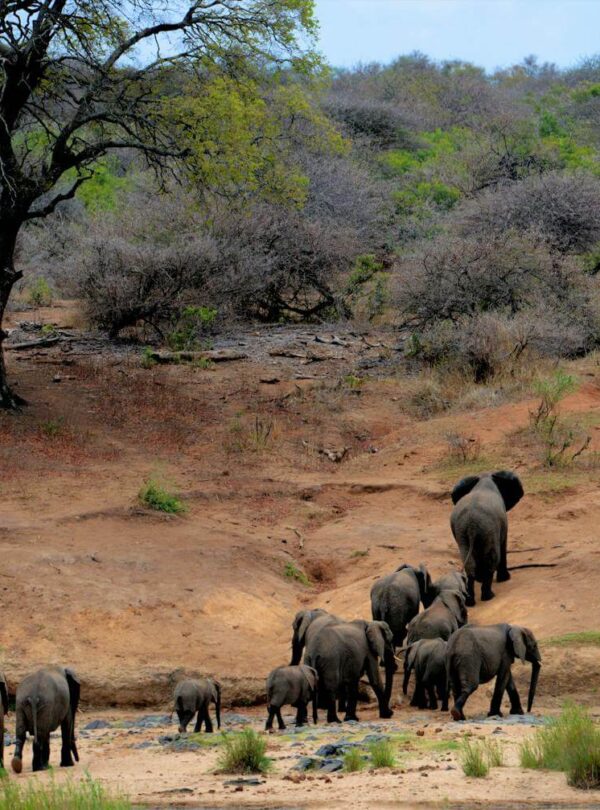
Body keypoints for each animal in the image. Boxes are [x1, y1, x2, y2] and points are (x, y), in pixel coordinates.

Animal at [450, 470, 524, 606]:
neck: (484, 479)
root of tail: (472, 525)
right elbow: (503, 544)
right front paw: (505, 579)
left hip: (462, 532)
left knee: (469, 563)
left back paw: (470, 601)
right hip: (488, 528)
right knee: (492, 558)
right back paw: (489, 596)